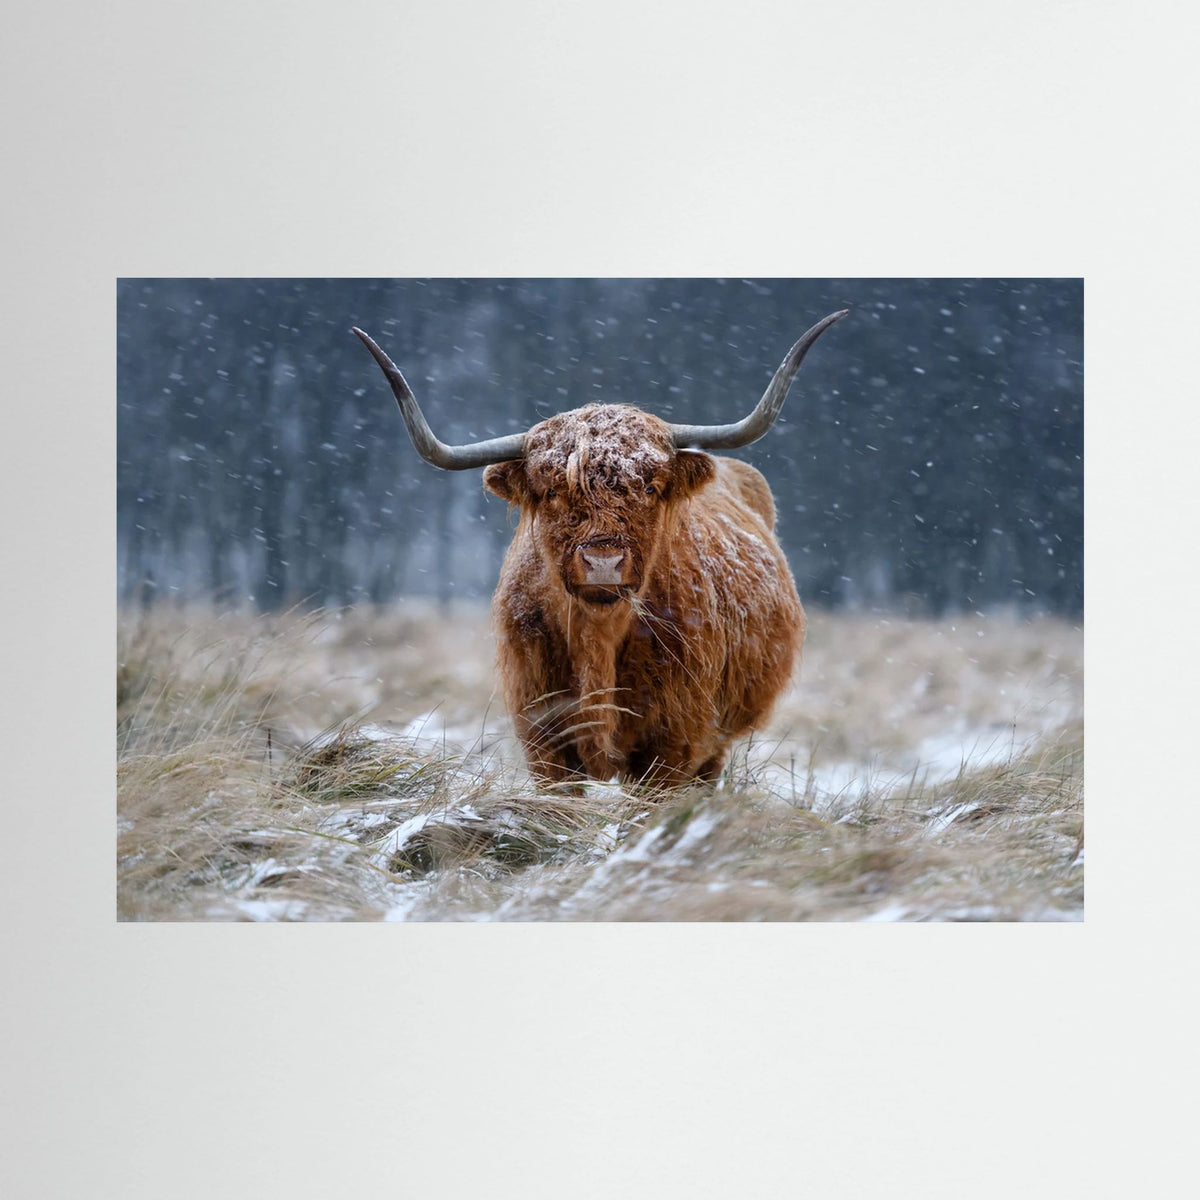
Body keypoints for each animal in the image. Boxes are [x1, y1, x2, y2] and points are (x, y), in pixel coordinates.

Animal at [353, 309, 847, 789]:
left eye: (649, 487)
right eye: (553, 491)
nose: (603, 562)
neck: (598, 639)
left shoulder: (675, 742)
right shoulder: (543, 738)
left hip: (716, 742)